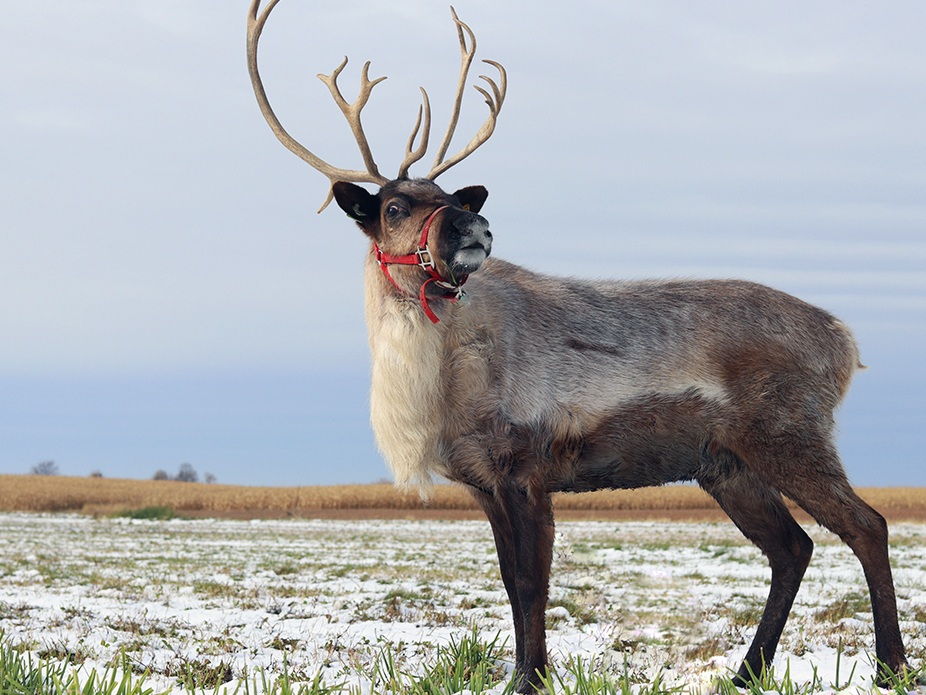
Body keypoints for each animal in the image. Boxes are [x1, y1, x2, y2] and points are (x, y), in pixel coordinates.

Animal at [246, 2, 913, 691]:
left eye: (453, 197)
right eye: (395, 206)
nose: (475, 226)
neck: (436, 391)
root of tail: (844, 342)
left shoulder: (525, 468)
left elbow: (531, 584)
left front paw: (529, 678)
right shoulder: (483, 484)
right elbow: (510, 583)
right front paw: (525, 673)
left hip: (789, 436)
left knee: (866, 525)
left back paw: (890, 665)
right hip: (728, 466)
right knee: (793, 548)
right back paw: (745, 672)